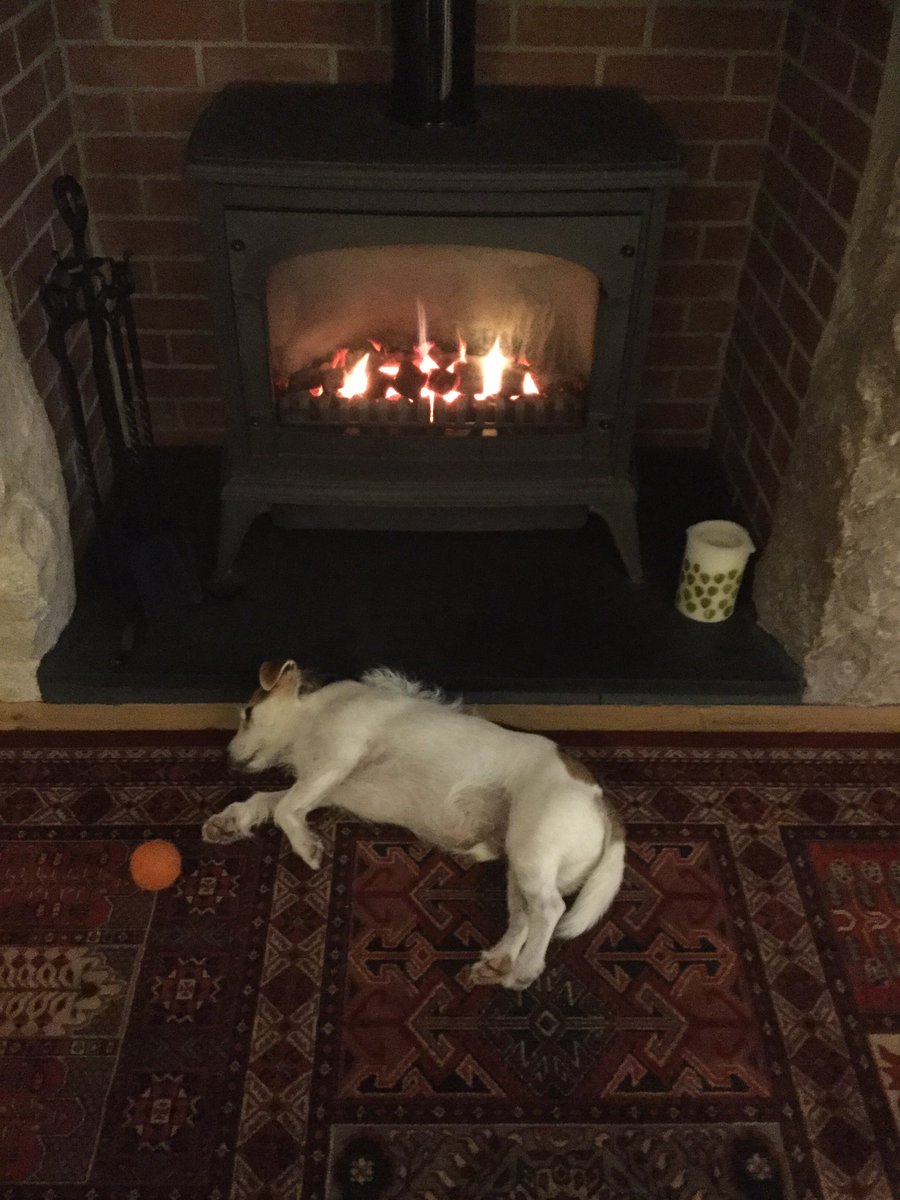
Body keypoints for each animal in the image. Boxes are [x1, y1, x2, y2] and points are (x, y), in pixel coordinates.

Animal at [202, 660, 625, 990]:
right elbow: (269, 801)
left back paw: (524, 969)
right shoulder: (326, 786)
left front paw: (306, 847)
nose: (227, 760)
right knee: (525, 917)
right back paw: (499, 960)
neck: (313, 712)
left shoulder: (336, 759)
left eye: (248, 713)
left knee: (551, 909)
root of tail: (603, 804)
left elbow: (285, 808)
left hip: (532, 849)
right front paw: (230, 821)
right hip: (521, 865)